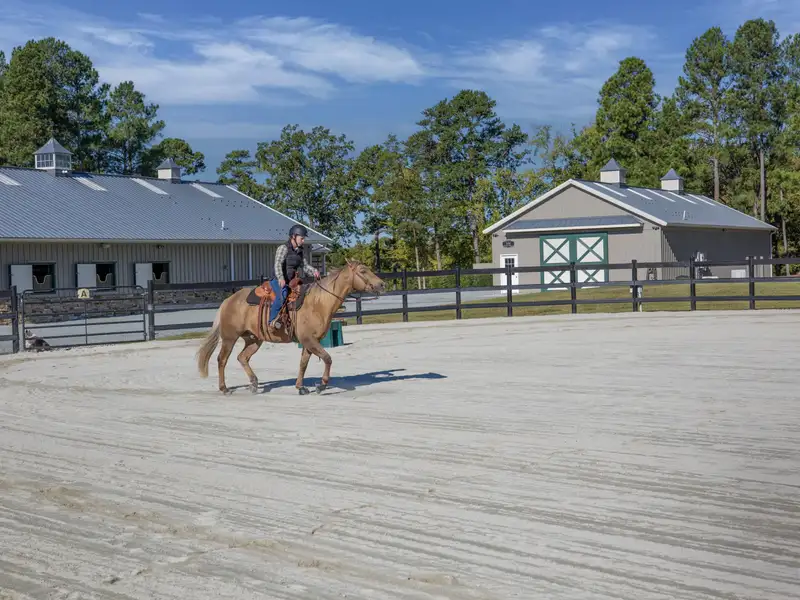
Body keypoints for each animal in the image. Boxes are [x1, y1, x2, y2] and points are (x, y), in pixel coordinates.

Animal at [196, 259, 386, 395]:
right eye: (363, 271)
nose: (382, 284)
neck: (318, 302)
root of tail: (228, 301)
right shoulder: (309, 340)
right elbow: (327, 358)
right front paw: (321, 385)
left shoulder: (309, 342)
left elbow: (303, 364)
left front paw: (300, 387)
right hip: (230, 338)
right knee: (222, 360)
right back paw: (225, 388)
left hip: (253, 339)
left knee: (242, 357)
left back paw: (254, 384)